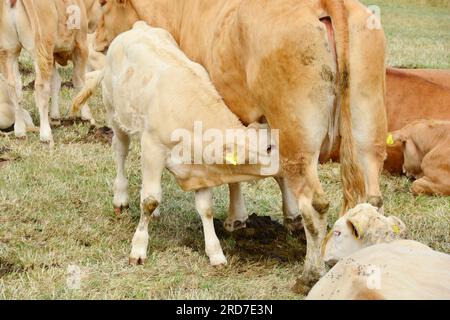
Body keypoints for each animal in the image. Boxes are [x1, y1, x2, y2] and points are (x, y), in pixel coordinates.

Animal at [0, 0, 101, 142]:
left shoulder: (52, 54)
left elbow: (56, 81)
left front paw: (55, 117)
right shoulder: (81, 45)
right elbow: (79, 80)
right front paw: (86, 115)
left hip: (9, 51)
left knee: (14, 86)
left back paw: (20, 131)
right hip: (41, 48)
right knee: (41, 86)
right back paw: (45, 134)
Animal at [70, 21, 278, 268]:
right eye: (268, 148)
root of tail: (139, 27)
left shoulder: (199, 168)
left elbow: (206, 209)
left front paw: (215, 252)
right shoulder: (153, 149)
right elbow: (149, 200)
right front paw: (138, 248)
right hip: (116, 116)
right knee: (120, 152)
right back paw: (120, 198)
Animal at [94, 0, 386, 292]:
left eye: (103, 5)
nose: (96, 39)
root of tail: (329, 5)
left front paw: (237, 217)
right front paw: (287, 217)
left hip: (299, 138)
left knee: (315, 204)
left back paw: (309, 275)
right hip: (367, 129)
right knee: (372, 198)